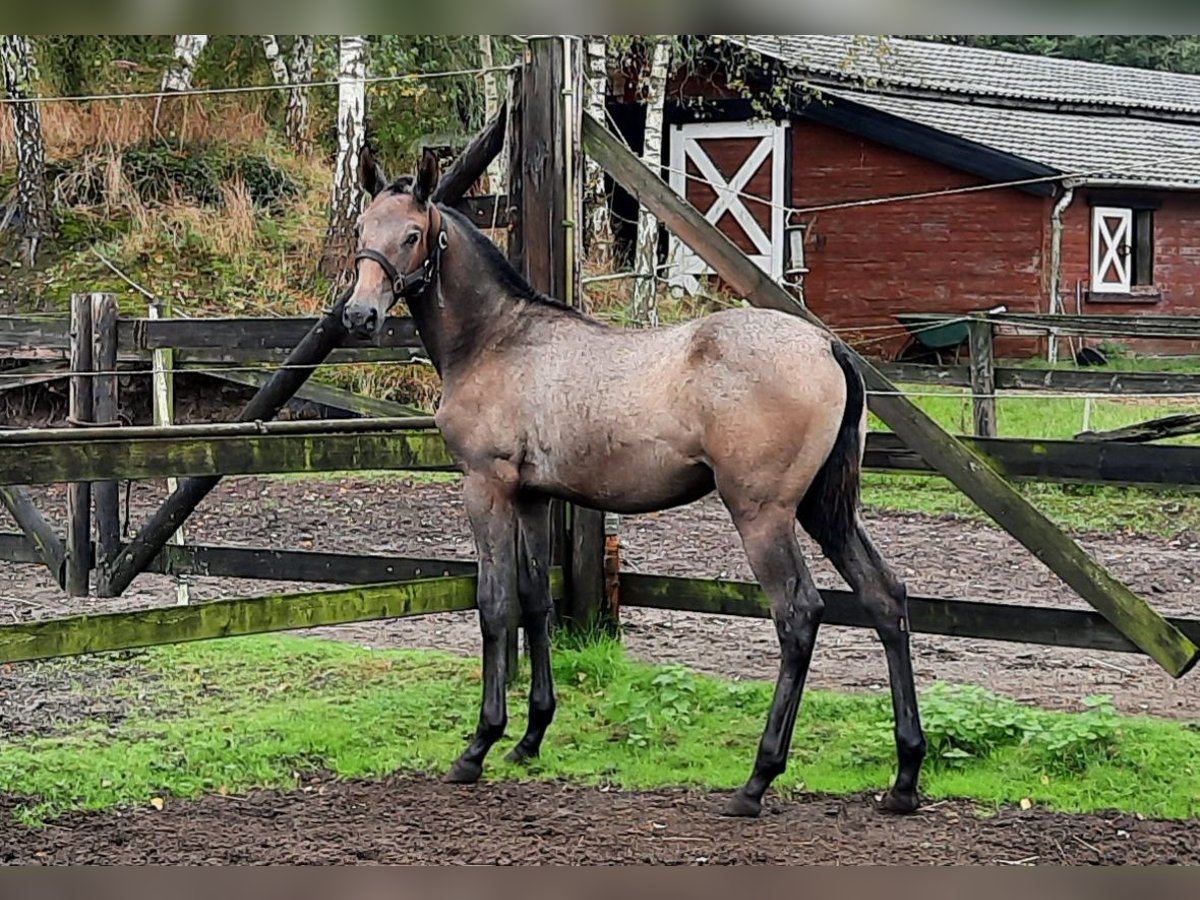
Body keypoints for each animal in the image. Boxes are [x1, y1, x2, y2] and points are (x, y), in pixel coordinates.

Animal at [340, 146, 926, 816]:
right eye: (361, 230)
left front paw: (479, 745)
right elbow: (536, 600)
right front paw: (531, 737)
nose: (357, 315)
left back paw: (757, 779)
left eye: (413, 235)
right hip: (827, 510)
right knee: (885, 597)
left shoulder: (486, 486)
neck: (498, 340)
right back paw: (904, 777)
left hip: (764, 513)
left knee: (798, 614)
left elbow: (494, 603)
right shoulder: (534, 498)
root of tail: (829, 346)